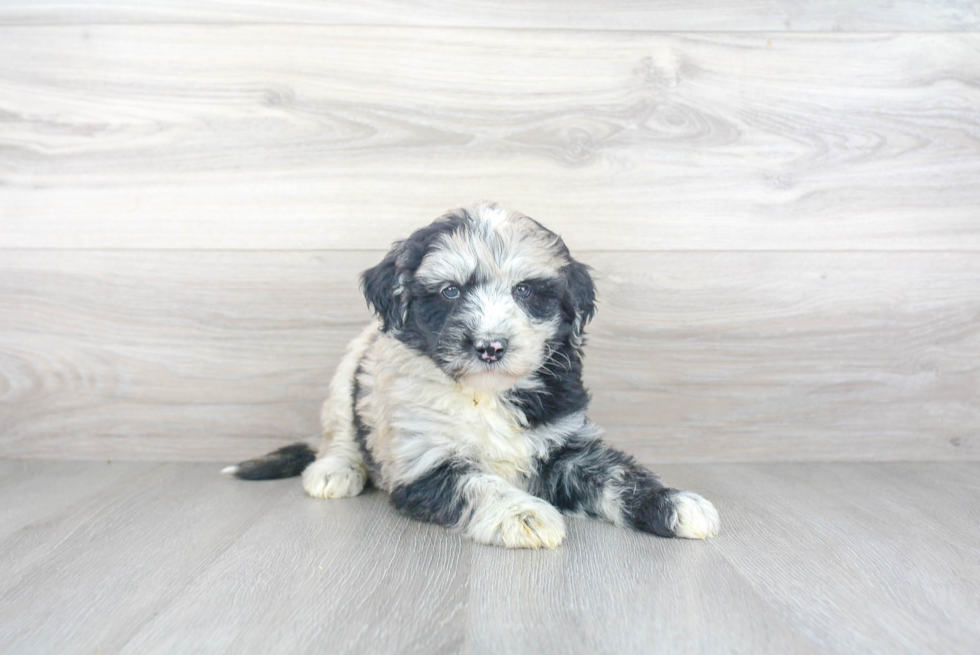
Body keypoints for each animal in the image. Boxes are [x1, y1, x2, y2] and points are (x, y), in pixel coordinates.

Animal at [228, 204, 720, 548]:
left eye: (525, 291)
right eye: (450, 292)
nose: (490, 346)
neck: (485, 394)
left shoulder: (567, 444)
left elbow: (618, 474)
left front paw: (675, 502)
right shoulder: (424, 458)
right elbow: (480, 482)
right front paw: (523, 514)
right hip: (346, 379)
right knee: (340, 434)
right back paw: (334, 471)